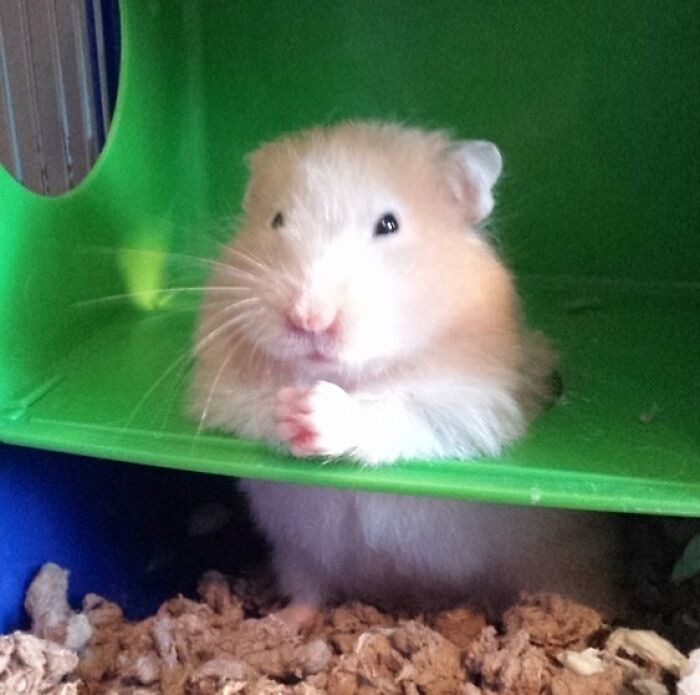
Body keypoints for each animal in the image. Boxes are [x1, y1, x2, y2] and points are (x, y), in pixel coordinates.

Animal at [190, 121, 617, 621]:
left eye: (388, 224)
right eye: (276, 220)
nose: (309, 319)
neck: (351, 374)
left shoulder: (471, 408)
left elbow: (394, 414)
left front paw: (317, 410)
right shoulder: (222, 396)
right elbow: (254, 410)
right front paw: (291, 406)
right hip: (296, 552)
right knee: (309, 590)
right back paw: (284, 621)